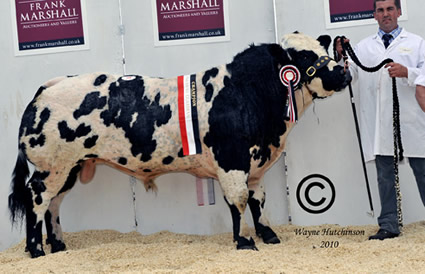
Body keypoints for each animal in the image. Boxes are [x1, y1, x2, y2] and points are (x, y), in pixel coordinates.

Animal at [9, 32, 352, 256]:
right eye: (304, 56)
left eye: (322, 48)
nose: (344, 73)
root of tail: (51, 85)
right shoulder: (232, 160)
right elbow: (239, 200)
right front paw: (244, 241)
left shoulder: (255, 165)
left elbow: (258, 200)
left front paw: (268, 235)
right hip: (52, 167)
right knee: (37, 200)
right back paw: (36, 250)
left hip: (68, 168)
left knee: (53, 204)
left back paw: (59, 246)